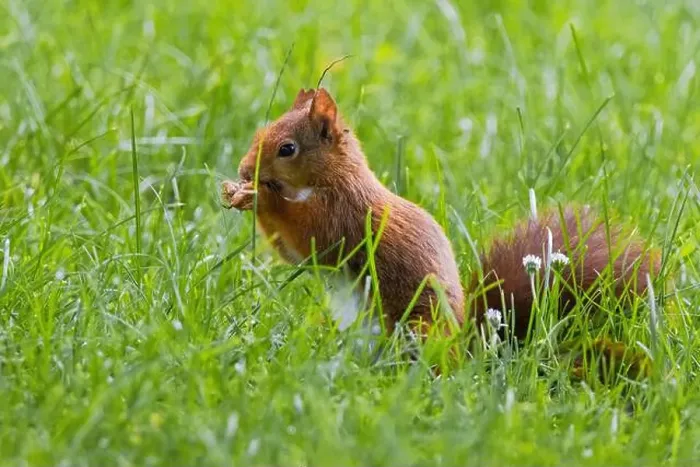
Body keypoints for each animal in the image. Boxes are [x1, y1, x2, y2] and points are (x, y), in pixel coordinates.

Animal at [221, 87, 660, 351]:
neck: (334, 178)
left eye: (287, 148)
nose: (243, 169)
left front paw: (260, 197)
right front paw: (240, 195)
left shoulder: (342, 215)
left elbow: (309, 237)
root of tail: (464, 351)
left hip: (418, 326)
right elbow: (294, 255)